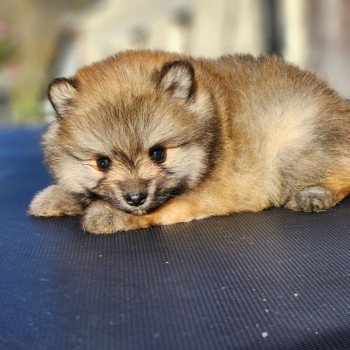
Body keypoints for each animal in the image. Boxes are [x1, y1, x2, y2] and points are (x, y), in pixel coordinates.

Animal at [28, 49, 350, 234]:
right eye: (103, 163)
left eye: (158, 154)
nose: (135, 198)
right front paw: (58, 196)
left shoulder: (213, 191)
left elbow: (164, 206)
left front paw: (107, 215)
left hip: (295, 147)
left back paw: (313, 194)